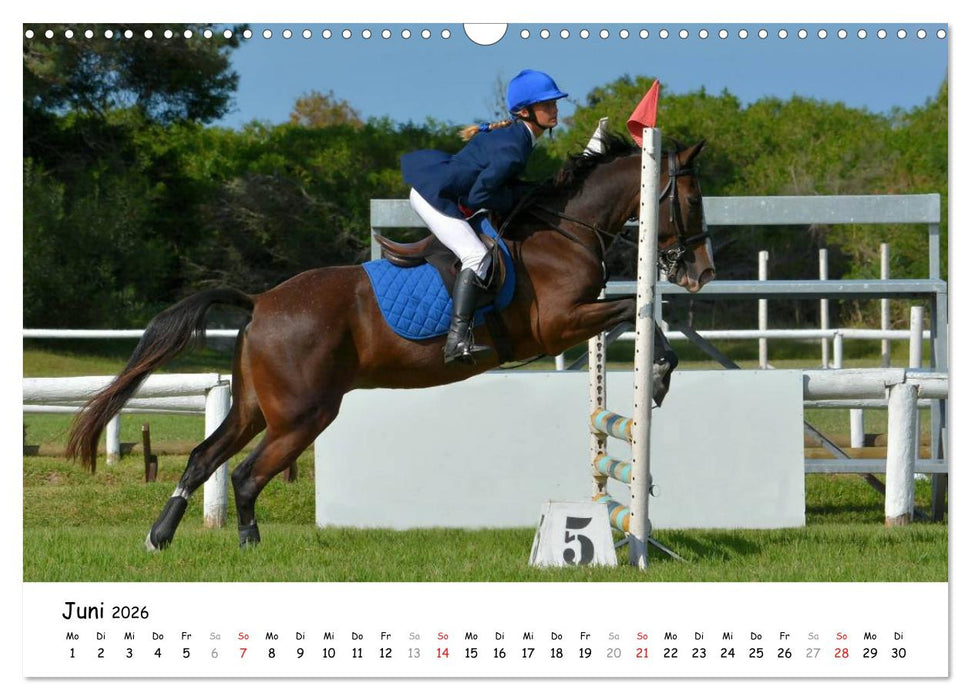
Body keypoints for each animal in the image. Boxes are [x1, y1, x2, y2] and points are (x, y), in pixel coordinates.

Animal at [66, 133, 715, 551]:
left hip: (256, 406)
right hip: (304, 413)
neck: (565, 231)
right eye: (691, 198)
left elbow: (635, 312)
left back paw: (159, 537)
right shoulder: (559, 322)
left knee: (205, 459)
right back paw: (249, 547)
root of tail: (262, 302)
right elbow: (638, 312)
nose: (701, 272)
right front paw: (658, 378)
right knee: (247, 474)